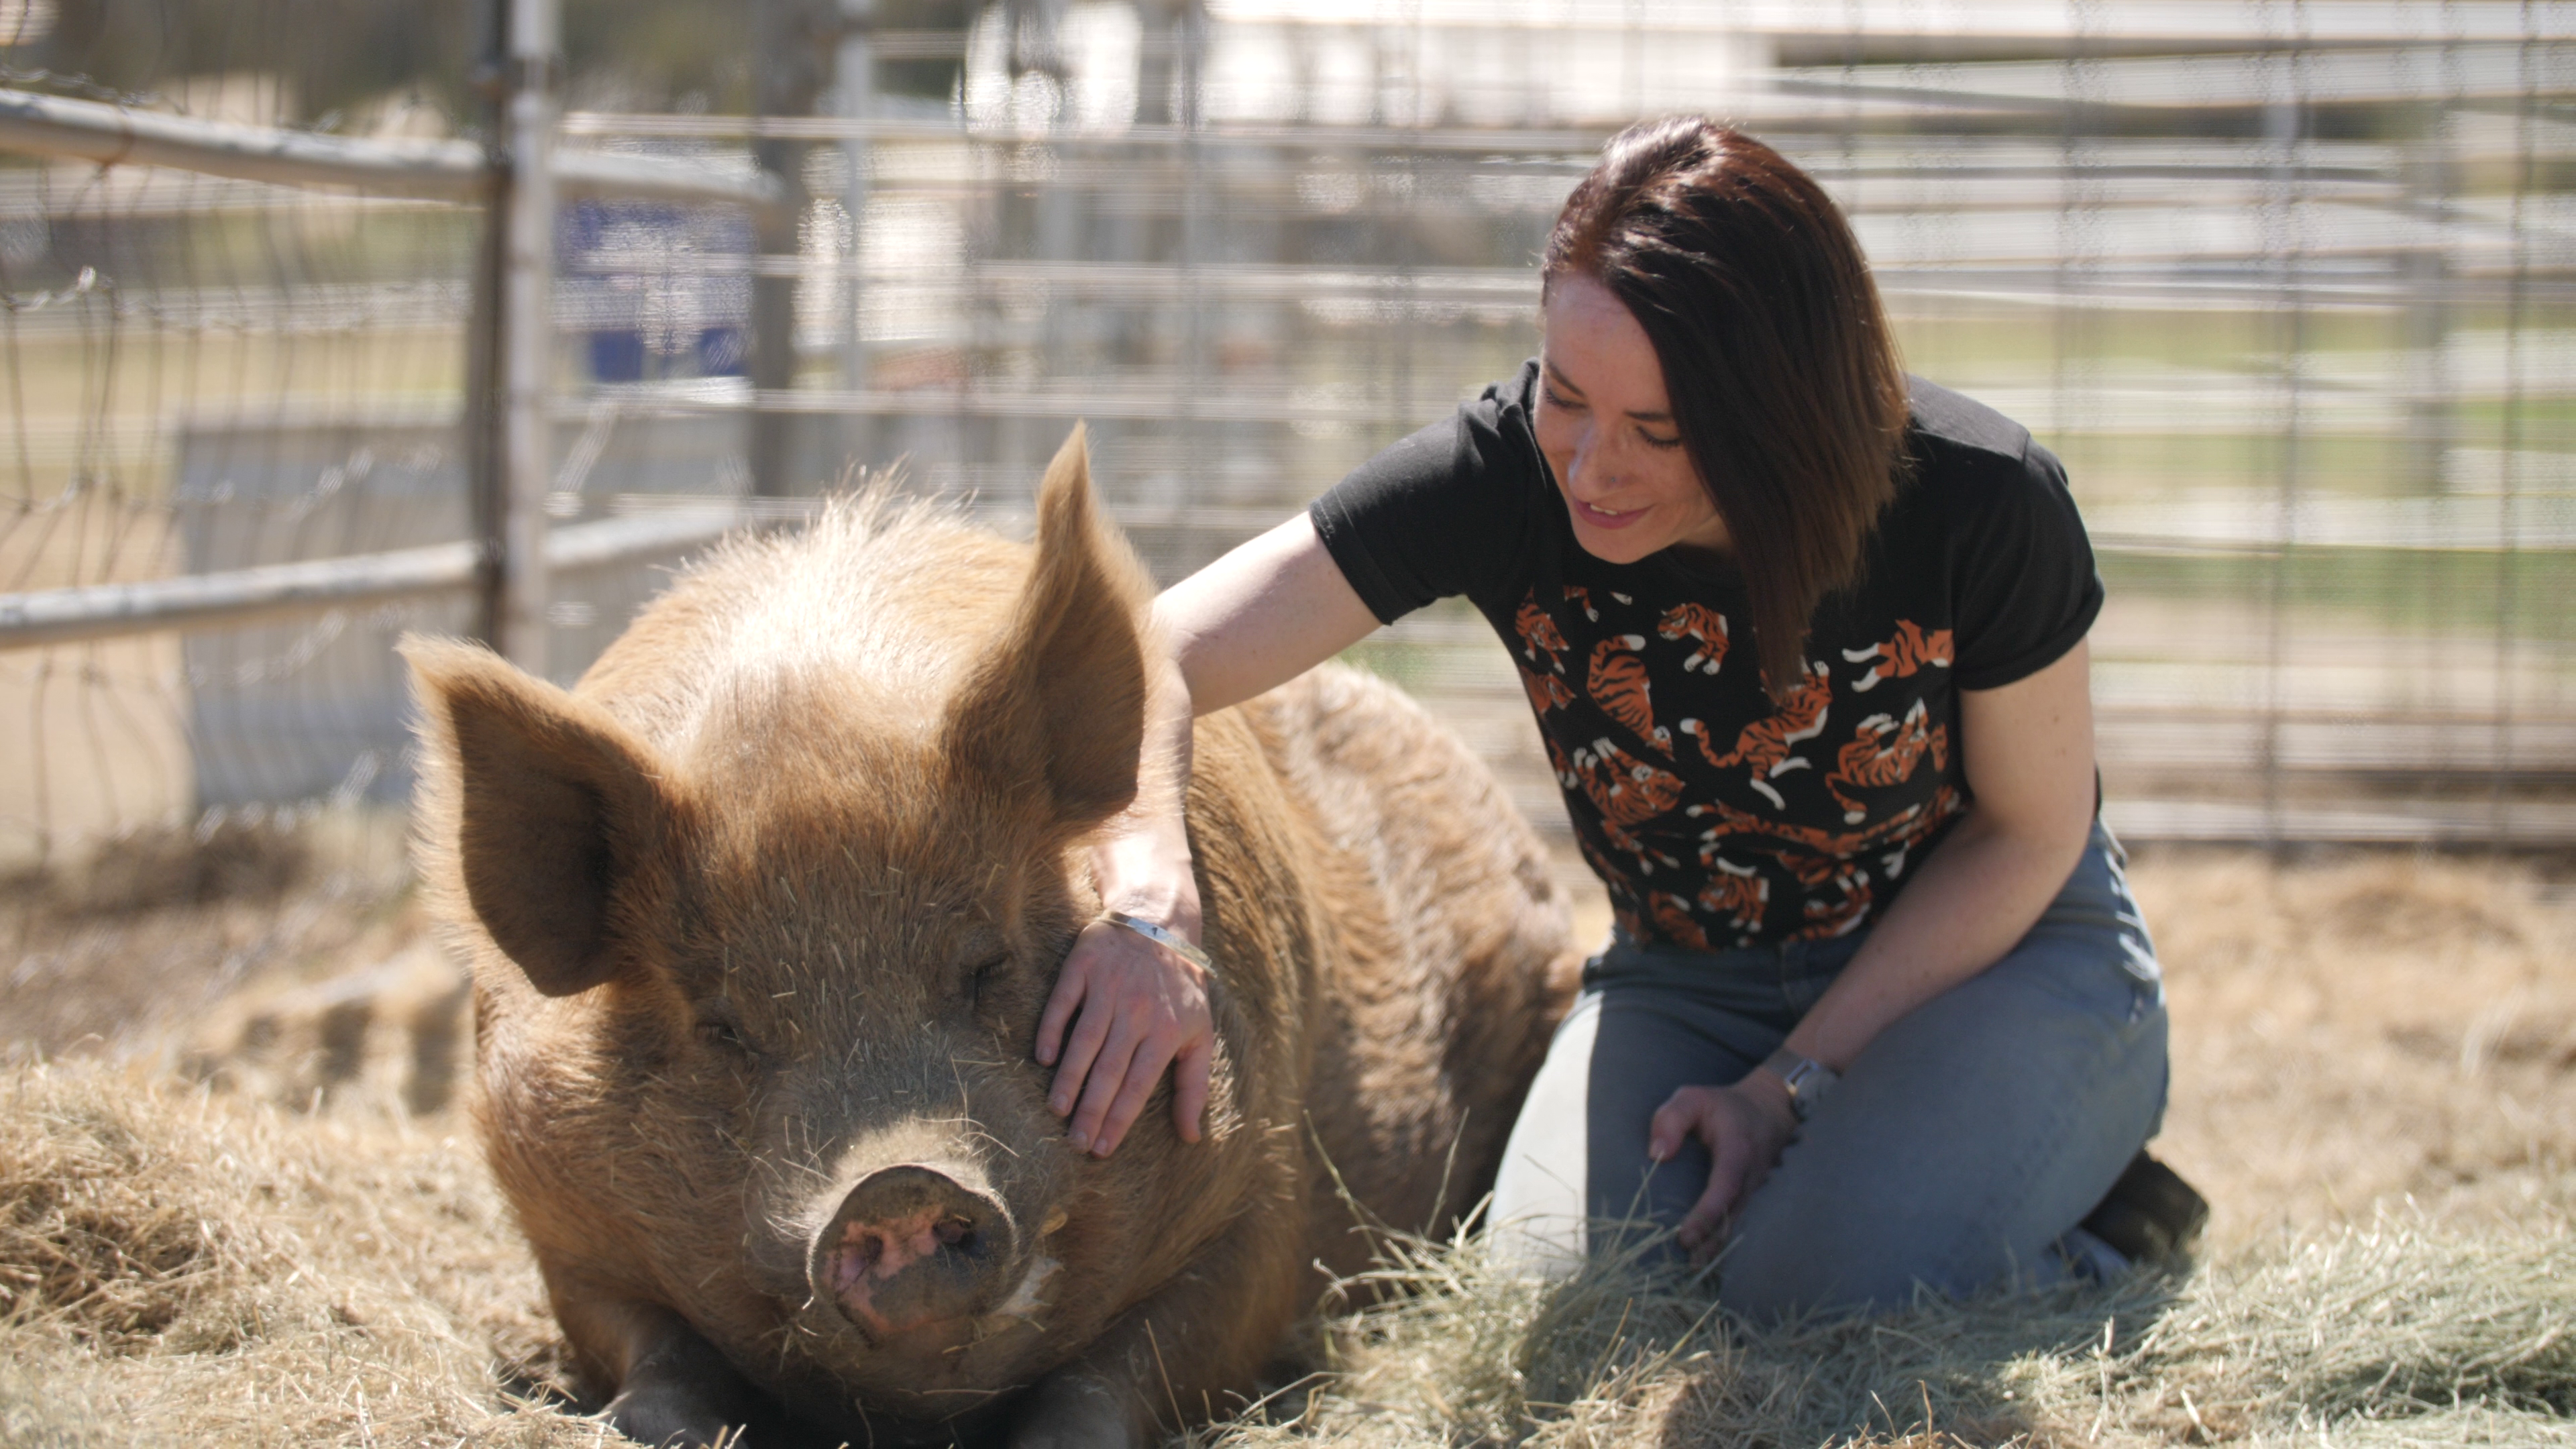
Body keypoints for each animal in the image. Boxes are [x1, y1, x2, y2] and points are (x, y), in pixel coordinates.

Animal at [409, 428, 1576, 1444]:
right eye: (725, 1027)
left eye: (986, 968)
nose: (897, 1185)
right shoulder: (556, 1220)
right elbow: (651, 1365)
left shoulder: (1264, 1196)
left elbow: (1117, 1383)